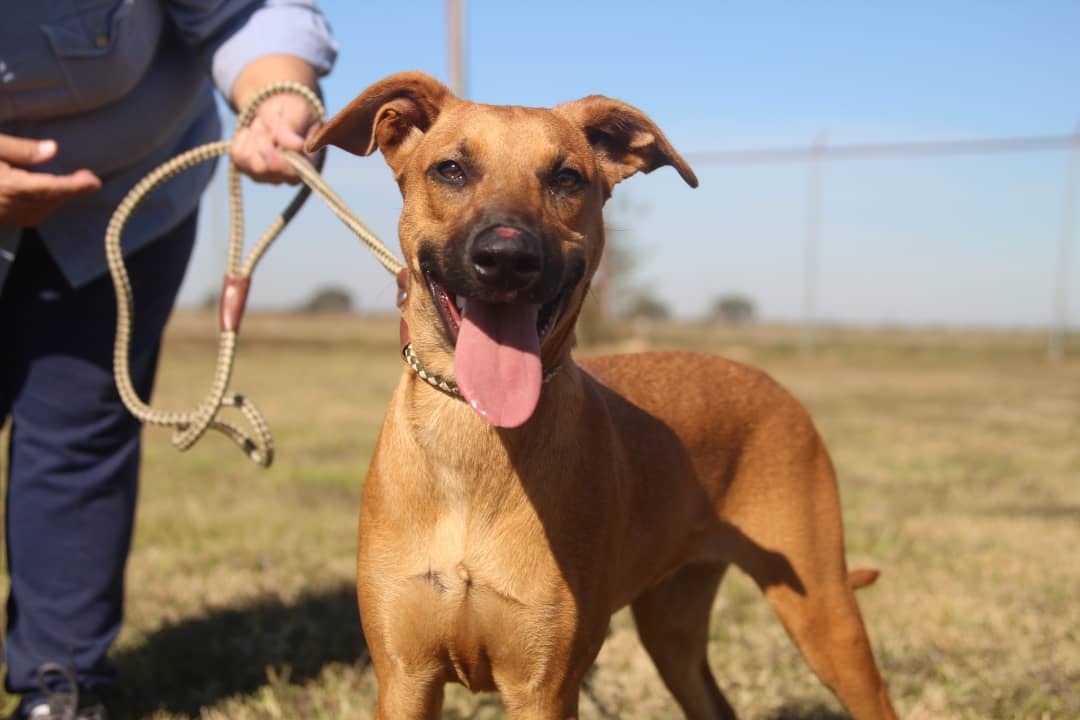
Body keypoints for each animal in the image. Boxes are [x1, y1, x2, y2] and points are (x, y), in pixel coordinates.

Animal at [308, 70, 898, 716]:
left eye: (567, 178)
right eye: (452, 170)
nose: (507, 257)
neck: (476, 439)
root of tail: (772, 385)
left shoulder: (544, 686)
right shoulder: (405, 677)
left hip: (823, 612)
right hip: (673, 625)